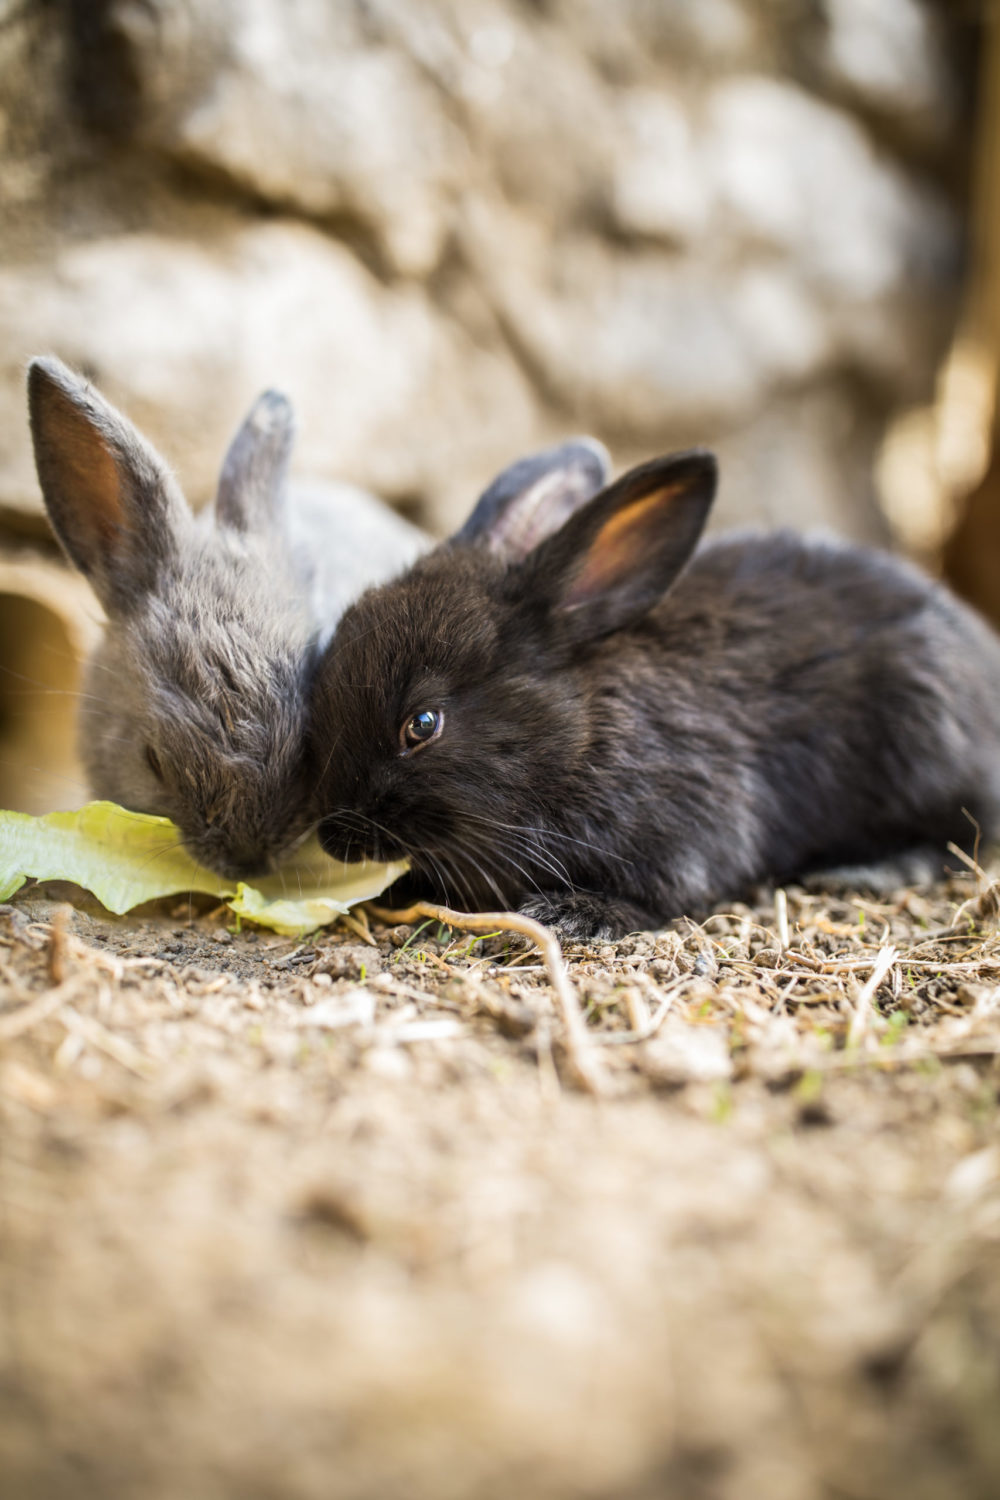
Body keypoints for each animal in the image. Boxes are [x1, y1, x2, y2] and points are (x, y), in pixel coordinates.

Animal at [308, 446, 1000, 939]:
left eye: (422, 725)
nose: (334, 839)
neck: (578, 735)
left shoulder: (693, 825)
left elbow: (663, 894)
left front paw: (573, 915)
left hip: (926, 740)